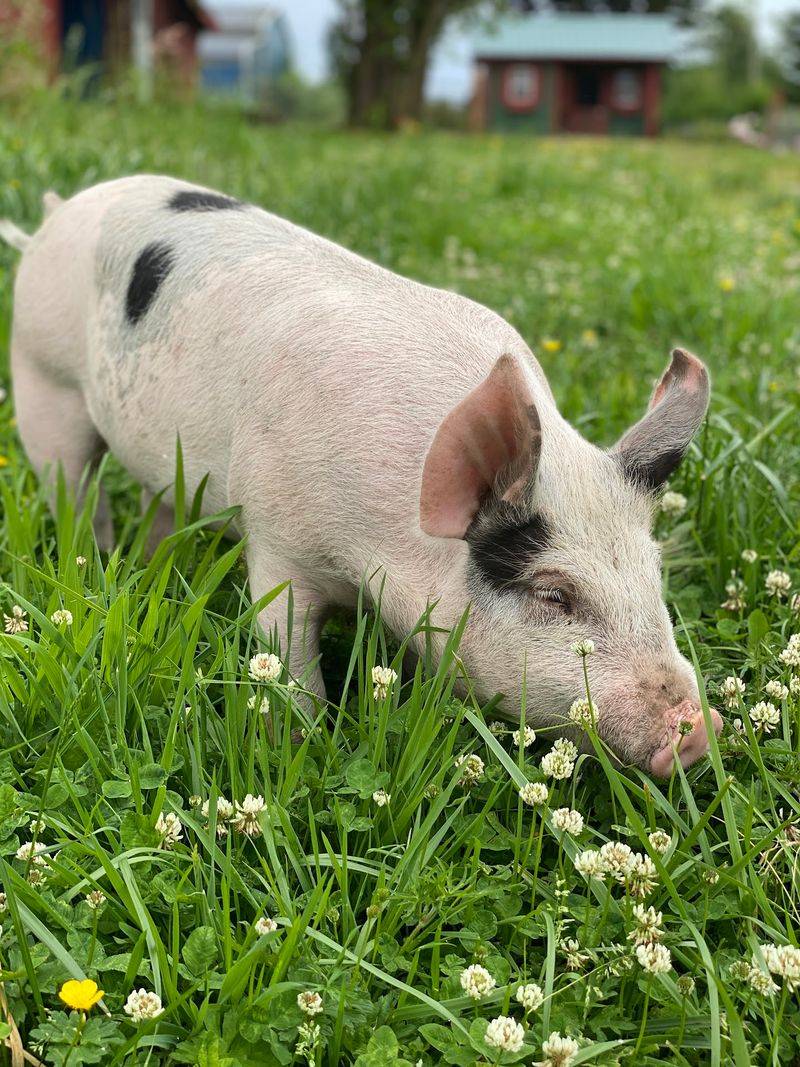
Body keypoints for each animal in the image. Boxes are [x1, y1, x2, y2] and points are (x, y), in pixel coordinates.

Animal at [1, 176, 722, 775]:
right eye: (553, 594)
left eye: (655, 574)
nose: (699, 730)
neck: (383, 540)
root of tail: (57, 213)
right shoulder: (277, 538)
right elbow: (290, 656)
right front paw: (303, 746)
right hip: (42, 379)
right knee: (76, 488)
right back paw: (94, 564)